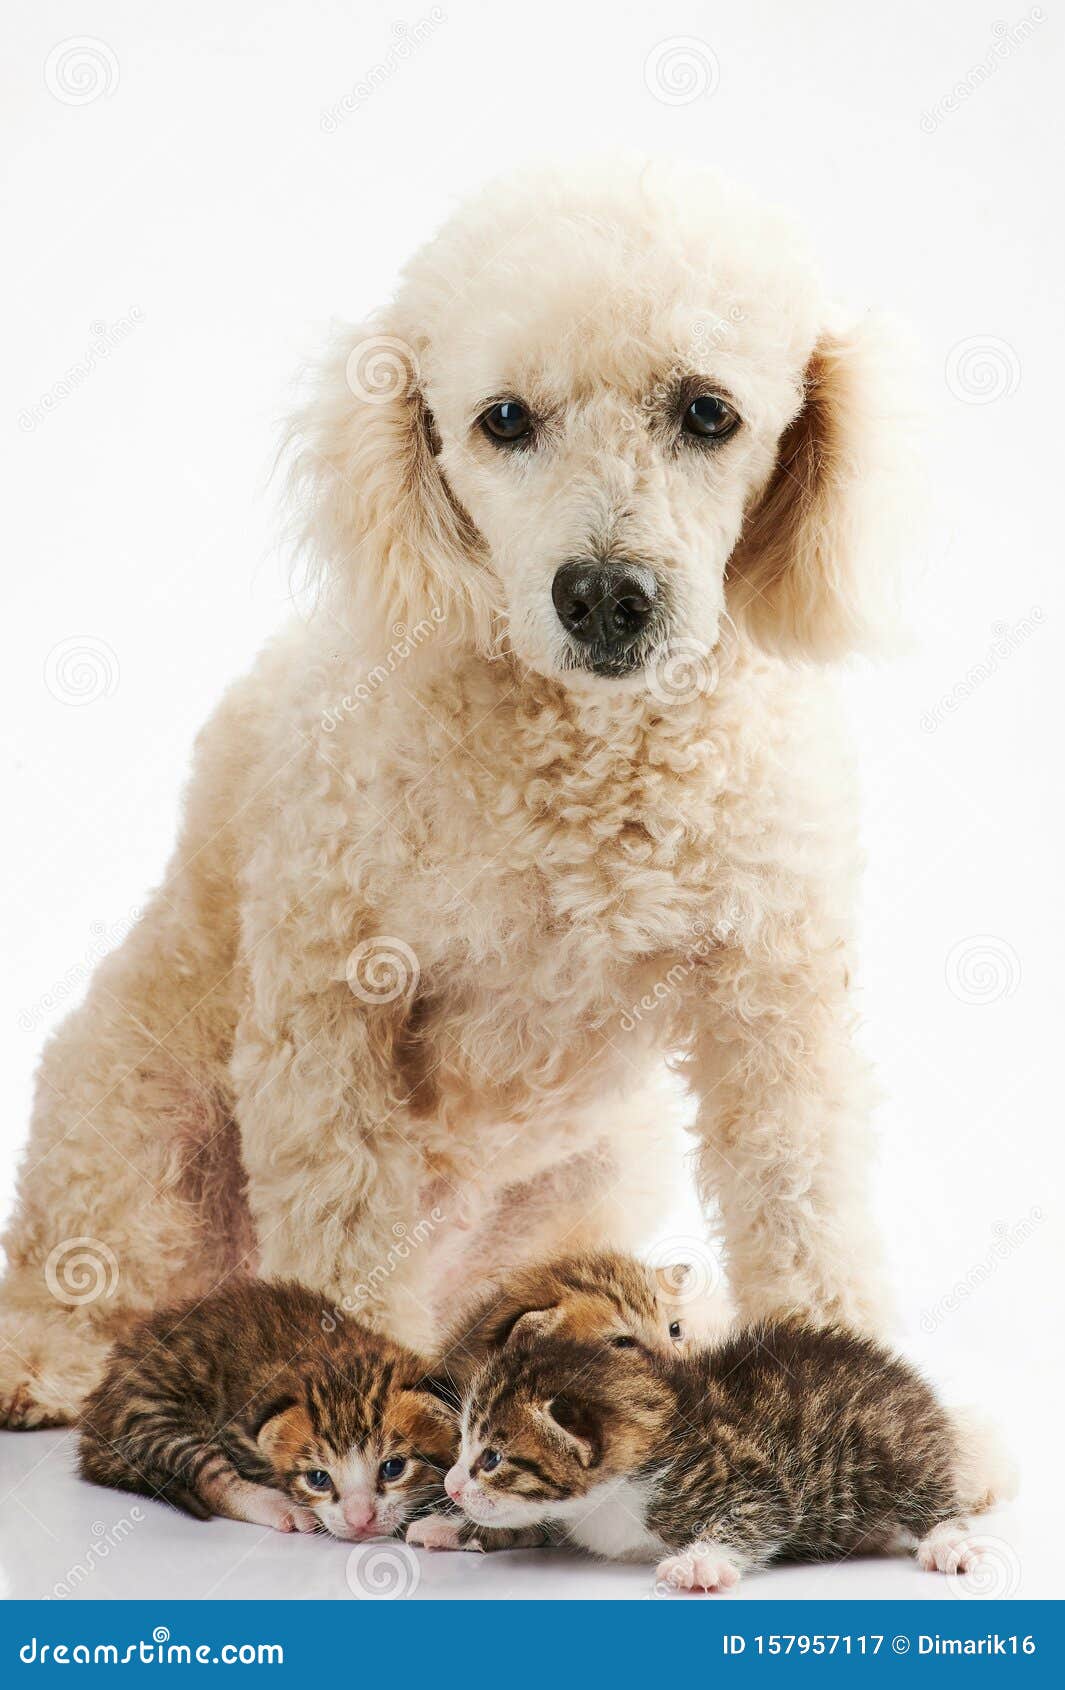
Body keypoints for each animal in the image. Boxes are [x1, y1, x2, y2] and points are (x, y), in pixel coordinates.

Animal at [78, 1270, 456, 1541]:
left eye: (393, 1468)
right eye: (318, 1478)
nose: (360, 1520)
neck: (339, 1357)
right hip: (156, 1410)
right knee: (209, 1476)